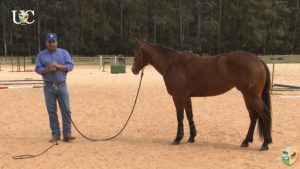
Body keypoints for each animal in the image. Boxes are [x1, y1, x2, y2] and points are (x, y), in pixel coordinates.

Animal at [131, 40, 272, 151]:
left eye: (137, 53)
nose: (133, 70)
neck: (172, 63)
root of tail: (258, 60)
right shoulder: (186, 97)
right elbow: (189, 115)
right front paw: (191, 137)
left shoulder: (178, 97)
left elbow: (180, 116)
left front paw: (177, 138)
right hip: (247, 95)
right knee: (253, 116)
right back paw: (246, 141)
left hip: (253, 96)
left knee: (264, 114)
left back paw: (265, 144)